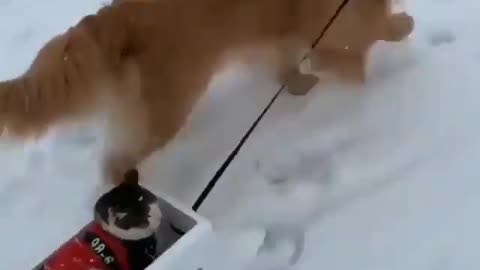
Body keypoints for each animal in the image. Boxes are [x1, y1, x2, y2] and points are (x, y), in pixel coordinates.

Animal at [0, 0, 412, 186]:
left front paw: (297, 85)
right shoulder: (337, 26)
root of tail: (110, 21)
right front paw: (403, 26)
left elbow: (285, 63)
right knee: (114, 161)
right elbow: (374, 32)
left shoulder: (280, 36)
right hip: (168, 110)